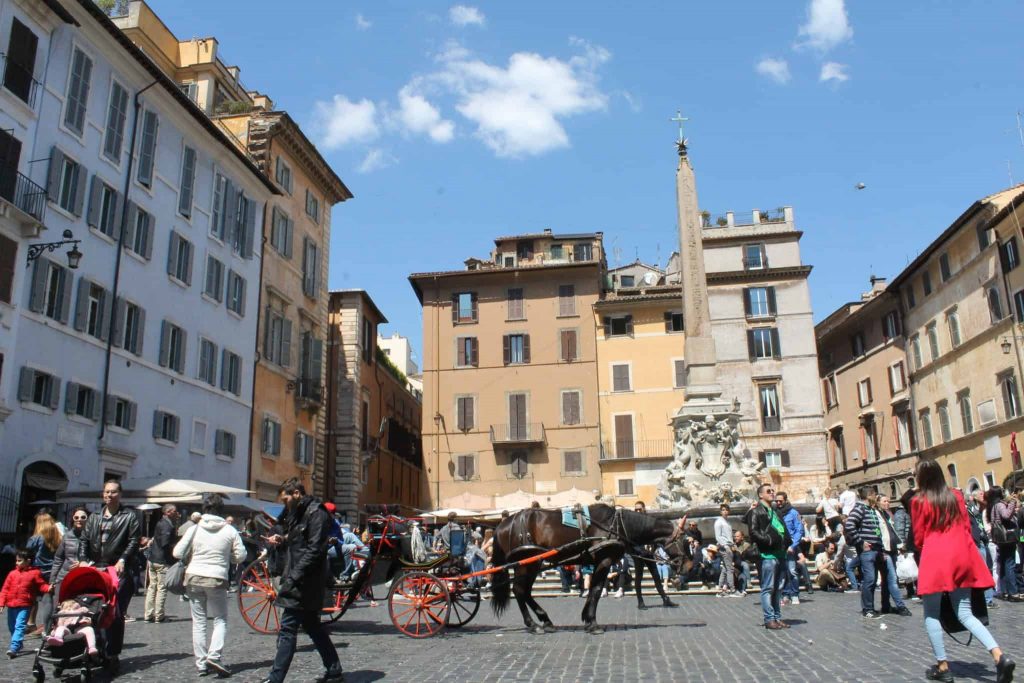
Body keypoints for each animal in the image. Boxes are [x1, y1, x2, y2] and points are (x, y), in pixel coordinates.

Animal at [489, 501, 696, 634]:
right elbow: (596, 590)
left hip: (532, 563)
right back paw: (533, 624)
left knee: (525, 591)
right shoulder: (604, 561)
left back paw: (545, 620)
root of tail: (502, 525)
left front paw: (587, 620)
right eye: (684, 541)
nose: (689, 566)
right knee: (519, 590)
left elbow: (592, 590)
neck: (616, 525)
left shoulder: (599, 563)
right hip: (527, 563)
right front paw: (593, 623)